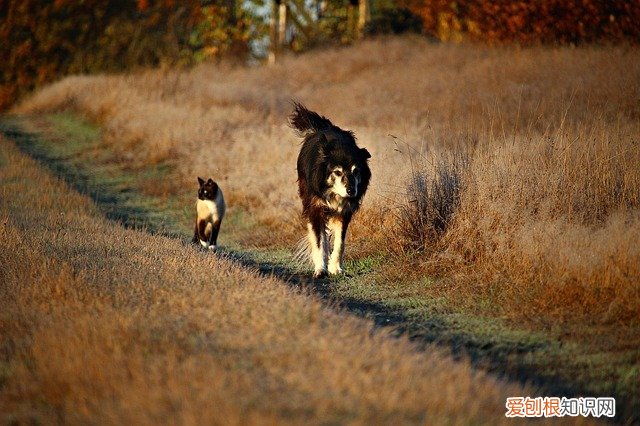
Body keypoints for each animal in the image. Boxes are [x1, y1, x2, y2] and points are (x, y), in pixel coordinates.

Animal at [288, 103, 372, 280]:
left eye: (356, 171)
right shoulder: (316, 207)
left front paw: (336, 269)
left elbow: (340, 242)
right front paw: (321, 270)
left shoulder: (344, 212)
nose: (351, 190)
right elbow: (319, 241)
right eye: (337, 172)